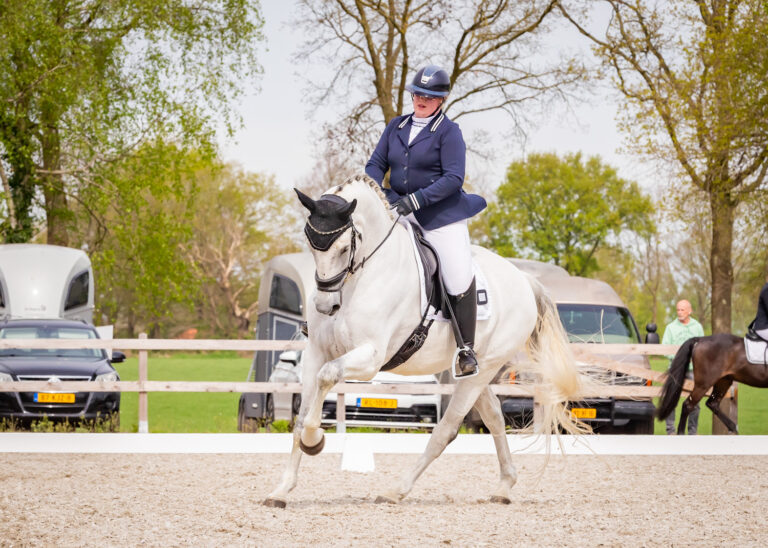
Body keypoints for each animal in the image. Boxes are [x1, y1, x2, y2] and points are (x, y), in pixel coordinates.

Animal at [262, 176, 584, 510]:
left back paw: (395, 490)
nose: (326, 306)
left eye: (344, 247)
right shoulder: (316, 352)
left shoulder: (370, 357)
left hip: (482, 369)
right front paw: (281, 490)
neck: (362, 275)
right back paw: (504, 487)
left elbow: (327, 378)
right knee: (494, 416)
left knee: (447, 429)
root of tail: (524, 279)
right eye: (310, 243)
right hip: (472, 373)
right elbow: (301, 417)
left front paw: (315, 441)